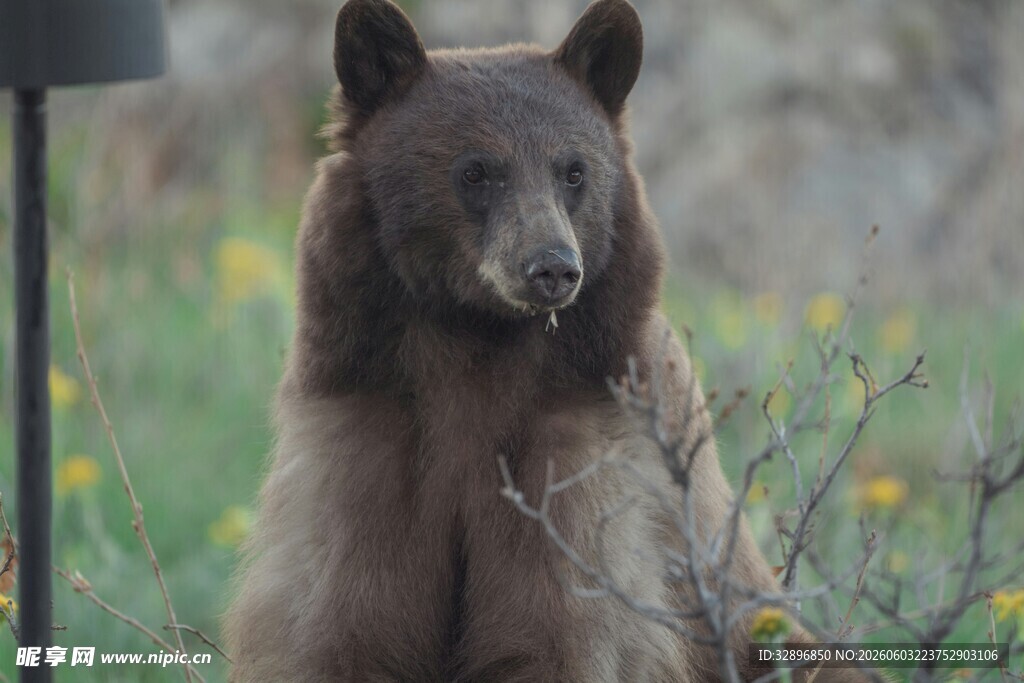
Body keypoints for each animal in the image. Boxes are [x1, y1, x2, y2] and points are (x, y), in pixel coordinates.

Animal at [224, 1, 871, 681]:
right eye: (476, 171)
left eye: (574, 171)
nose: (553, 267)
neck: (476, 343)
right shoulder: (367, 440)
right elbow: (343, 626)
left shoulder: (582, 463)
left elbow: (558, 628)